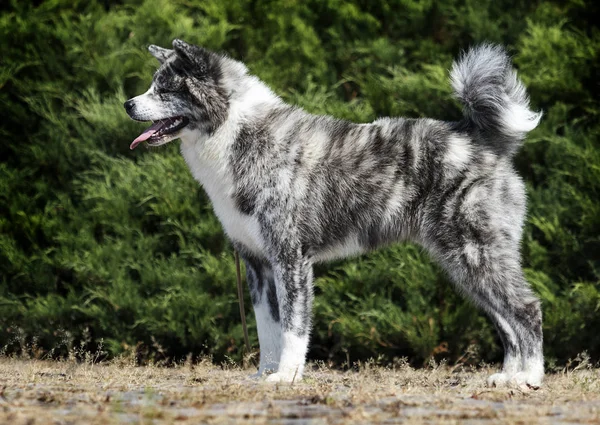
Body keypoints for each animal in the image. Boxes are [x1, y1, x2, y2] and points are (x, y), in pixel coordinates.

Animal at [125, 39, 544, 388]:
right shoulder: (258, 265)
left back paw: (530, 378)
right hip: (466, 264)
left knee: (526, 310)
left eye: (166, 88)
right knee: (506, 322)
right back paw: (508, 377)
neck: (236, 131)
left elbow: (293, 328)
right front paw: (264, 375)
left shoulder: (291, 259)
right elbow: (267, 330)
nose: (127, 104)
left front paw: (287, 378)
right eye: (154, 84)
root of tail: (481, 139)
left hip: (476, 253)